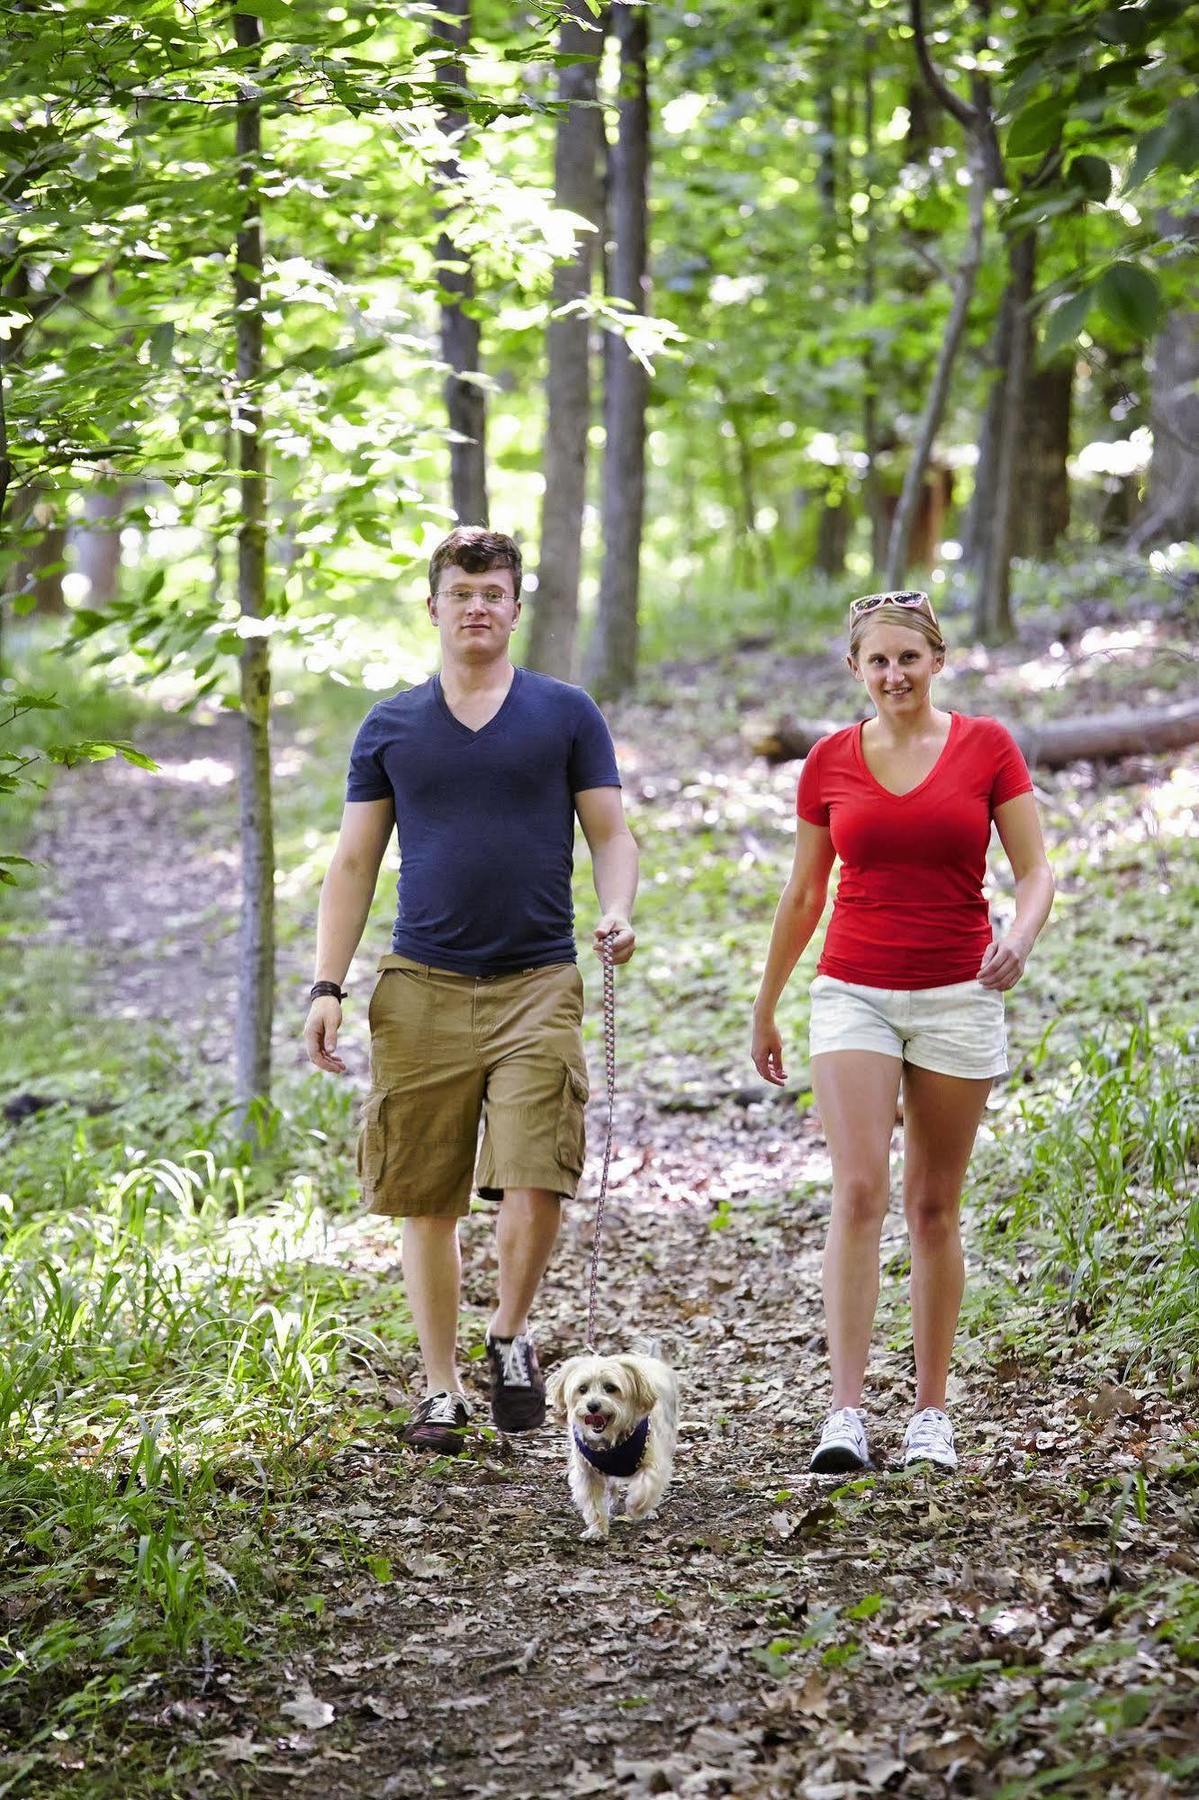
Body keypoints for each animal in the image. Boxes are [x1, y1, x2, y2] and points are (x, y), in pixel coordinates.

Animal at [547, 1353, 676, 1540]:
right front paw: (597, 1529)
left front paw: (637, 1507)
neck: (610, 1440)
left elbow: (647, 1483)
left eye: (610, 1387)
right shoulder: (587, 1472)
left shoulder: (653, 1460)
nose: (592, 1406)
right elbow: (593, 1502)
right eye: (582, 1389)